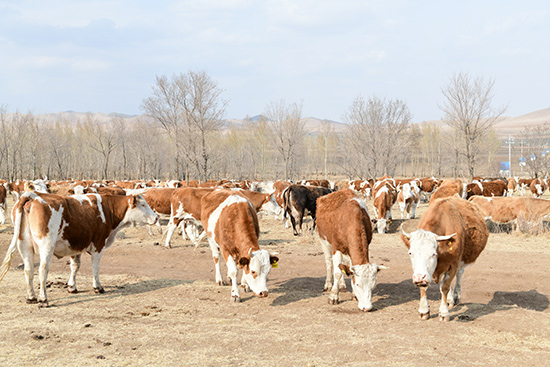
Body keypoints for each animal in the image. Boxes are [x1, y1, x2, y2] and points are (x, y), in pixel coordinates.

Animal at [0, 191, 160, 306]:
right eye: (143, 204)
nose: (156, 218)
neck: (107, 210)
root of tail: (34, 196)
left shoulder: (75, 245)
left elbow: (75, 266)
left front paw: (72, 287)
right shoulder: (98, 245)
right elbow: (95, 268)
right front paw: (98, 287)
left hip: (24, 246)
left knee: (28, 270)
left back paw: (31, 297)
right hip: (46, 245)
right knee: (42, 270)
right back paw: (43, 299)